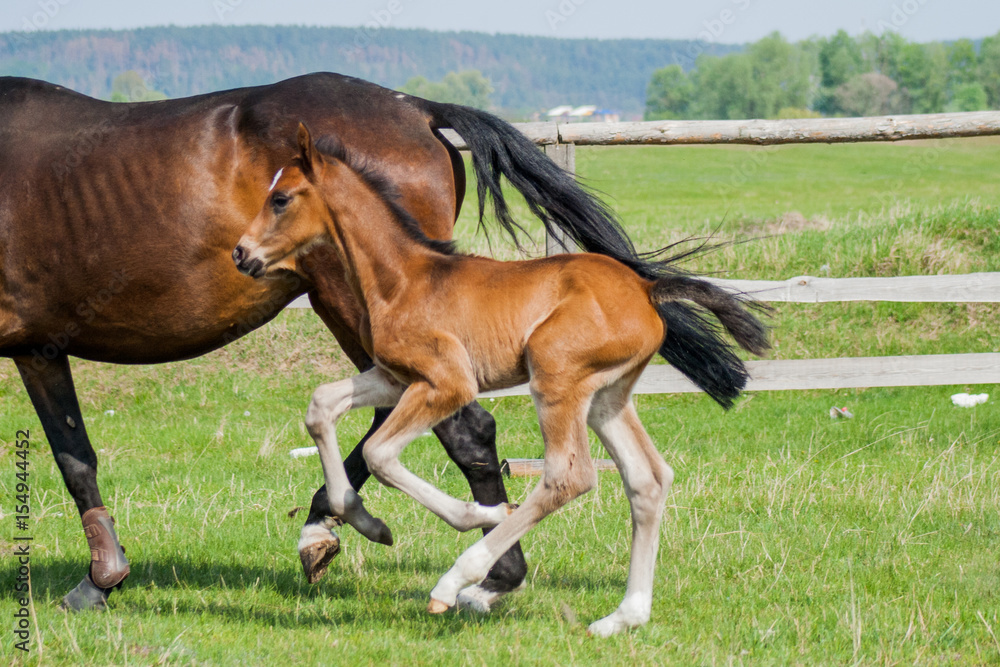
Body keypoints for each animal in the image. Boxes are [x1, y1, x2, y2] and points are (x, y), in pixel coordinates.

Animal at [0, 73, 618, 612]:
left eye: (282, 198)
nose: (242, 253)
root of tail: (415, 107)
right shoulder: (38, 348)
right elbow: (74, 454)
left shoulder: (35, 346)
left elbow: (73, 456)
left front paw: (100, 581)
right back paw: (340, 525)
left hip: (352, 301)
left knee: (463, 428)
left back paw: (485, 565)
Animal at [233, 125, 770, 635]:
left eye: (281, 198)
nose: (240, 254)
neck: (403, 280)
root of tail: (646, 287)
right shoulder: (395, 377)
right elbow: (321, 405)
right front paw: (366, 523)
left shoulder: (448, 383)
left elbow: (379, 453)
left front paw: (480, 514)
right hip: (606, 397)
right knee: (647, 479)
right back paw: (622, 617)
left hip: (555, 379)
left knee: (569, 476)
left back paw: (458, 580)